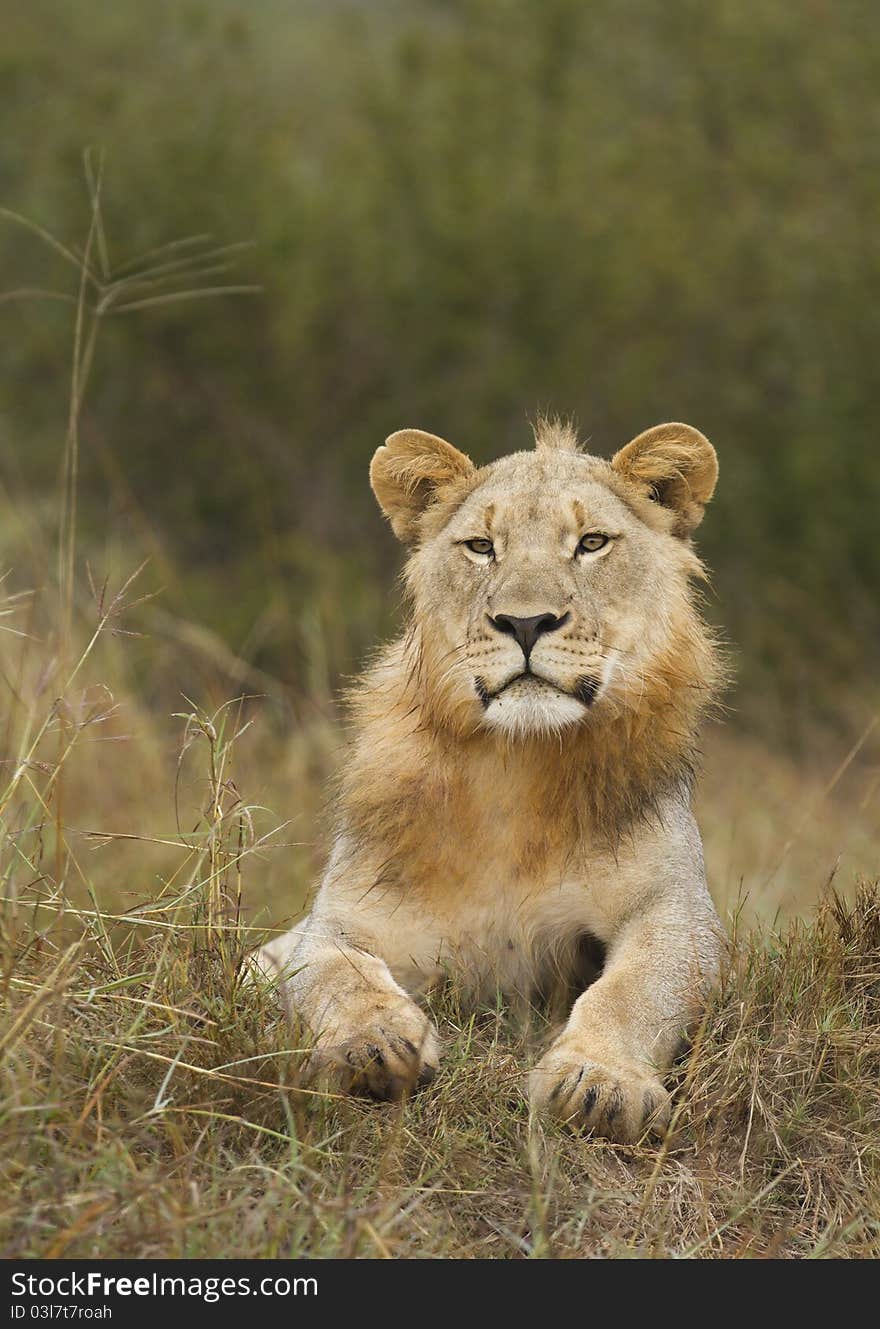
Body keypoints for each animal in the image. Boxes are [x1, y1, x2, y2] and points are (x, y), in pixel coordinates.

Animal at [251, 422, 728, 1142]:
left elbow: (633, 988)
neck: (516, 765)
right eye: (481, 546)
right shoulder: (342, 917)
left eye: (591, 543)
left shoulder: (677, 908)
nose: (526, 622)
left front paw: (599, 1083)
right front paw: (373, 1046)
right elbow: (337, 972)